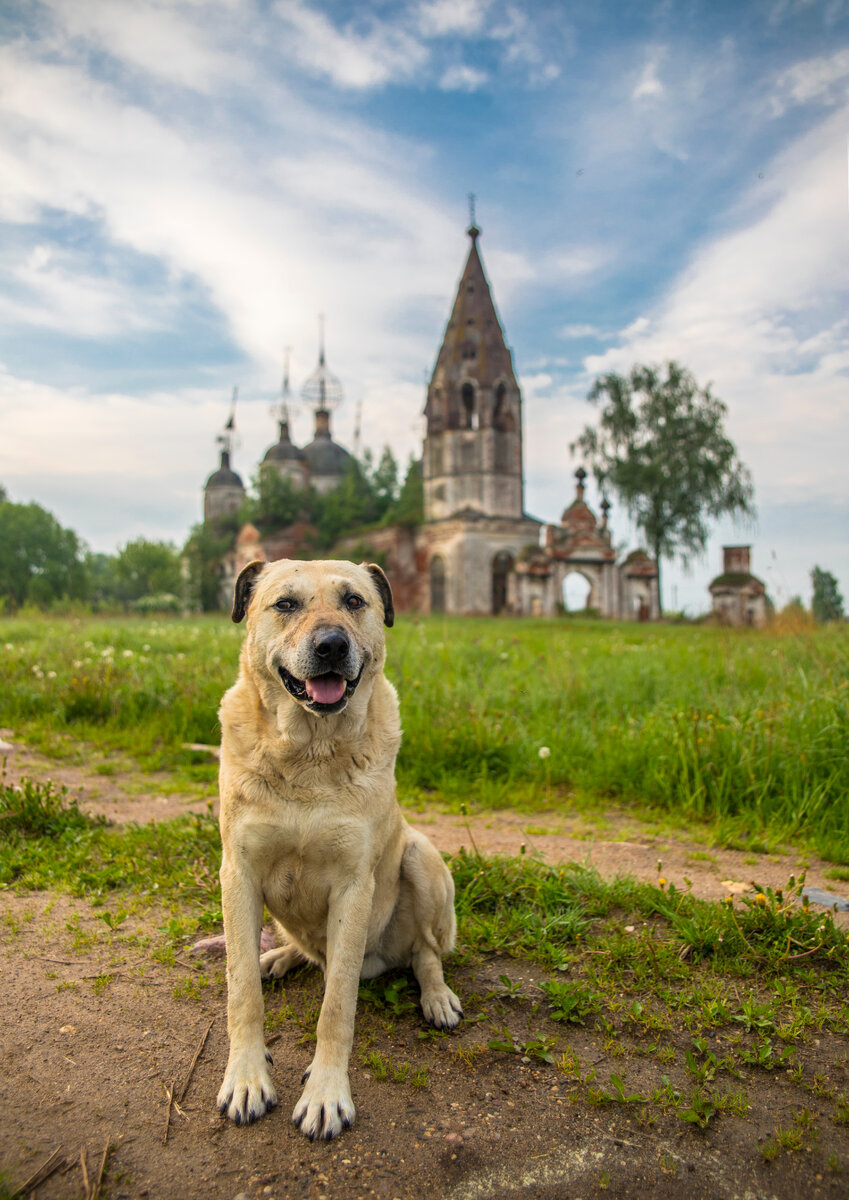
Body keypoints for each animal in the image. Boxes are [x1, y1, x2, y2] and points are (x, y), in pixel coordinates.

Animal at [215, 556, 460, 1137]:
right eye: (285, 604)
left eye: (354, 601)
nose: (331, 645)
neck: (310, 753)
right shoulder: (238, 874)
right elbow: (242, 991)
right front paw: (246, 1077)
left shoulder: (354, 886)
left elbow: (337, 1008)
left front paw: (326, 1093)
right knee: (305, 954)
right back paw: (279, 957)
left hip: (421, 858)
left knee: (424, 953)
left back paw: (437, 997)